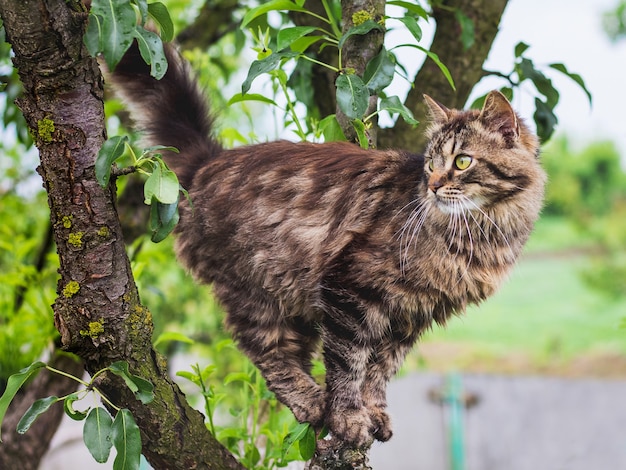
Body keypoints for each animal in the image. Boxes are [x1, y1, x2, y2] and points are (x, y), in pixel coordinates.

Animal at [109, 42, 544, 446]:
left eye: (462, 162)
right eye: (431, 163)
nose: (434, 186)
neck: (483, 232)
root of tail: (208, 162)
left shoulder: (409, 317)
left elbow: (378, 372)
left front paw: (375, 413)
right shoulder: (350, 288)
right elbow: (348, 364)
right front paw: (349, 418)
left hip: (295, 303)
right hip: (257, 288)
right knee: (264, 351)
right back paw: (313, 402)